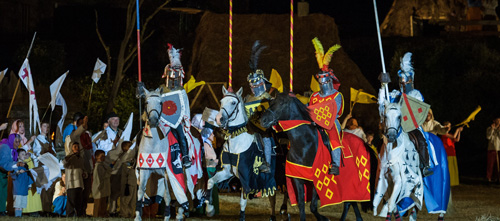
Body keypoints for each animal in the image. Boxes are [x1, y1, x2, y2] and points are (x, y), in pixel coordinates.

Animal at [206, 86, 278, 219]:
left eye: (233, 103)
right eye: (221, 101)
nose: (219, 119)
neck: (237, 141)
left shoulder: (246, 176)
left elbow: (243, 201)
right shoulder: (226, 171)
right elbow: (210, 181)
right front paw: (210, 209)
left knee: (273, 196)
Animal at [262, 93, 376, 221]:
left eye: (282, 103)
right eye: (271, 102)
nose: (263, 120)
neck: (305, 145)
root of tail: (365, 144)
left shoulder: (317, 180)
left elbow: (313, 207)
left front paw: (324, 218)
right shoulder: (297, 179)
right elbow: (301, 205)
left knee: (348, 202)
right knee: (350, 201)